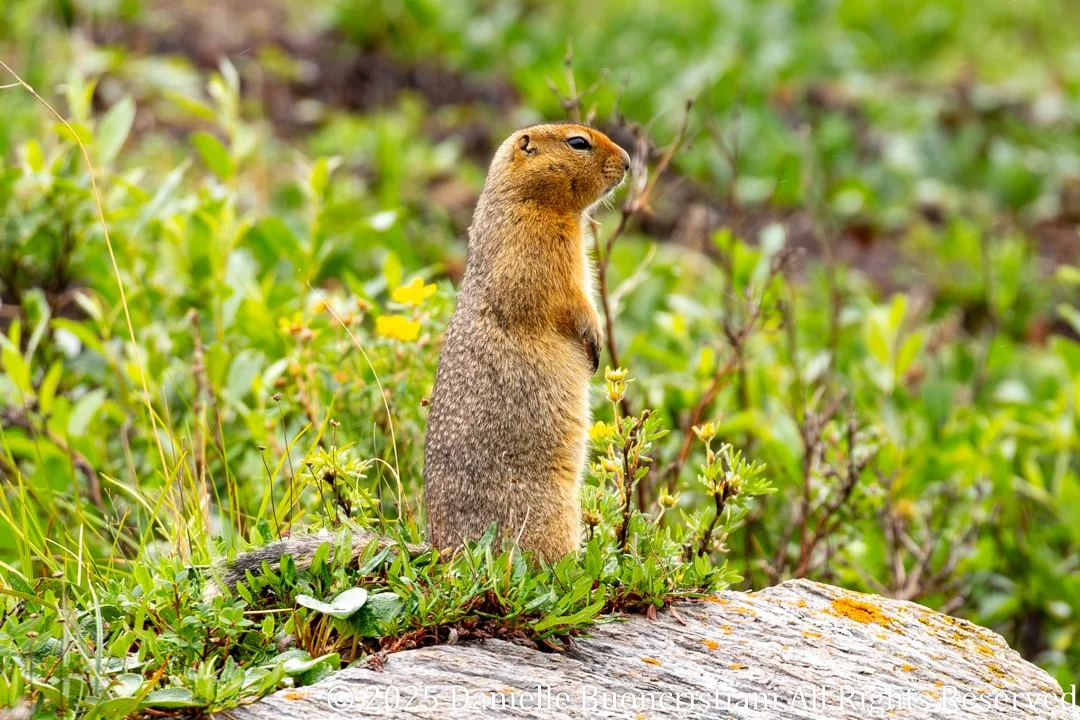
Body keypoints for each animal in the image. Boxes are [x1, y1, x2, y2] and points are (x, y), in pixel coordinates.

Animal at [206, 124, 630, 597]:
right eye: (578, 142)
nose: (630, 161)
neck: (529, 202)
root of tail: (444, 554)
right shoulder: (537, 252)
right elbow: (567, 300)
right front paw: (594, 339)